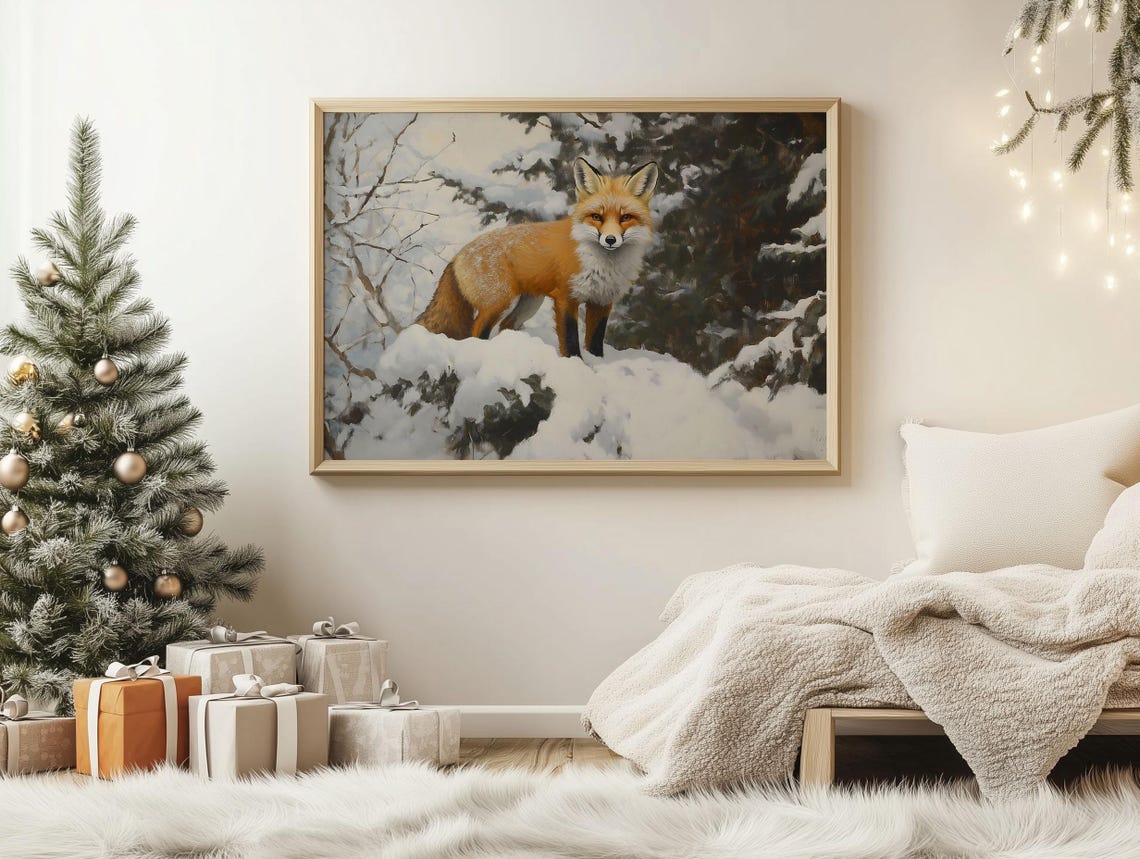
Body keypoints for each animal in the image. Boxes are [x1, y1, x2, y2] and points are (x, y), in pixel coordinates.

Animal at [417, 157, 659, 358]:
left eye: (625, 217)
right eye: (596, 217)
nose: (610, 239)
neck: (603, 265)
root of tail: (457, 255)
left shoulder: (602, 301)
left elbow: (595, 343)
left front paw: (595, 366)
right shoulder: (566, 297)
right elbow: (570, 341)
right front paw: (576, 366)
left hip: (529, 304)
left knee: (506, 325)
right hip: (499, 301)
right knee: (476, 331)